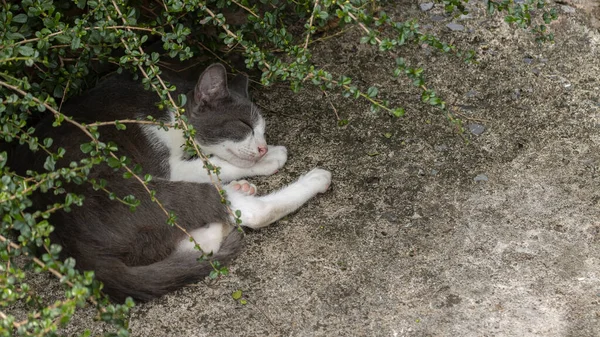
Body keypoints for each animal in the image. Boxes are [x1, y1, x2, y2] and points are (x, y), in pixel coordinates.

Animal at [14, 64, 330, 300]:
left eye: (262, 129)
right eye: (244, 126)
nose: (263, 148)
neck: (166, 103)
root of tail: (70, 252)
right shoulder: (165, 165)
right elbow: (211, 163)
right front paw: (271, 158)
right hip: (139, 190)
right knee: (251, 212)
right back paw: (313, 179)